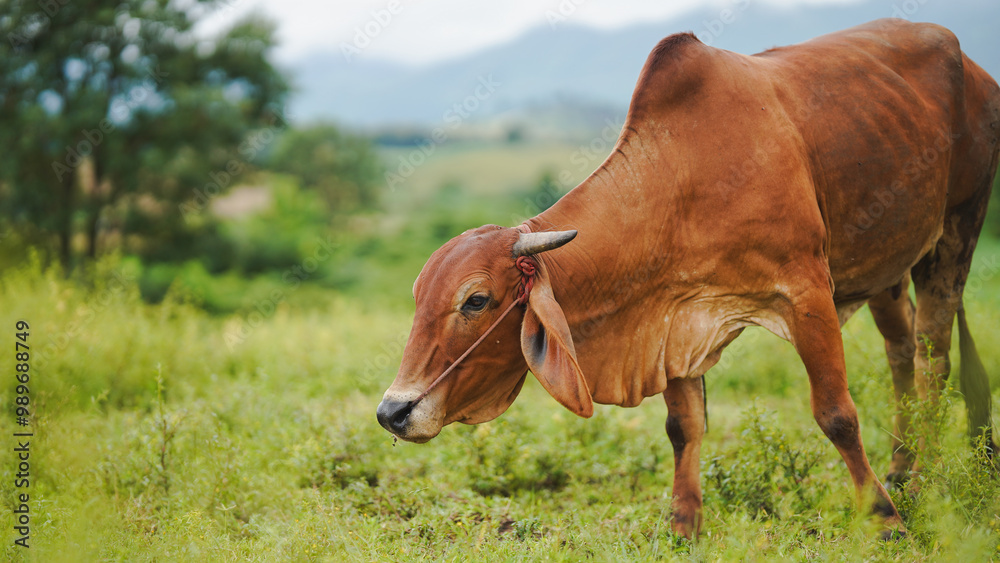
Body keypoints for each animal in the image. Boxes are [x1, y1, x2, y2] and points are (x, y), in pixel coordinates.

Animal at [377, 19, 999, 538]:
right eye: (418, 297)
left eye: (476, 300)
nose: (393, 412)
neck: (682, 184)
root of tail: (974, 66)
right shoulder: (672, 318)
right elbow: (684, 426)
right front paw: (683, 525)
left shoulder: (806, 294)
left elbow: (837, 415)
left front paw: (883, 520)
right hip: (886, 268)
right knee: (901, 353)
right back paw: (900, 469)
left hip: (957, 230)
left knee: (933, 359)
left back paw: (923, 479)